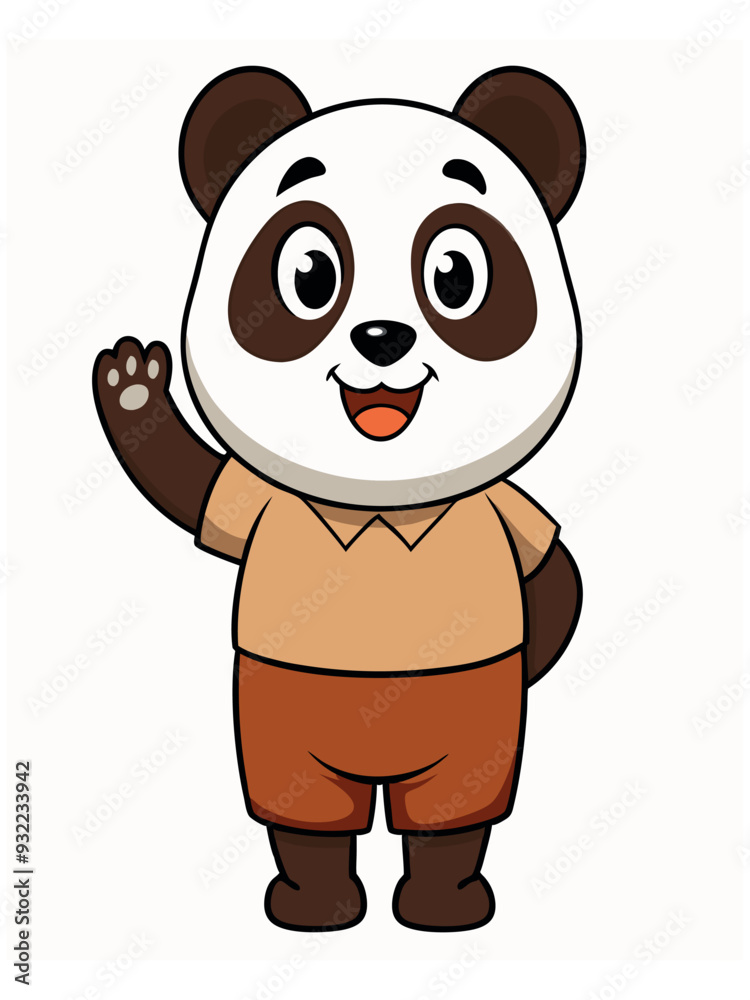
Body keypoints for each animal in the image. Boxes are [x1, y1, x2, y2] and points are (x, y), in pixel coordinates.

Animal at [93, 65, 585, 933]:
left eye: (455, 276)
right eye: (310, 275)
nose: (382, 337)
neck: (378, 503)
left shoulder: (509, 511)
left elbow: (552, 577)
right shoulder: (257, 503)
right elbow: (189, 484)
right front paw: (133, 390)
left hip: (466, 743)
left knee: (451, 816)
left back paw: (444, 904)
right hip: (287, 734)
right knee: (307, 817)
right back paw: (314, 904)